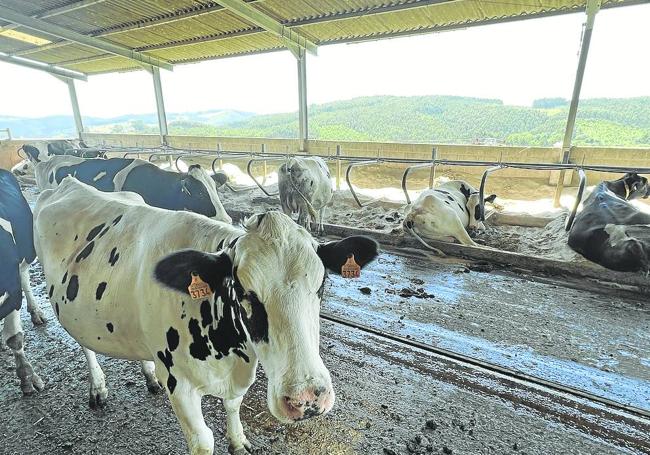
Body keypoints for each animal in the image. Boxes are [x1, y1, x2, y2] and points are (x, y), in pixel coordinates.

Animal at [35, 179, 378, 455]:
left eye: (322, 284)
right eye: (243, 291)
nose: (306, 399)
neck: (231, 354)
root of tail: (69, 182)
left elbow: (233, 404)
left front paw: (238, 441)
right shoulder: (180, 385)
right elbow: (203, 440)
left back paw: (148, 376)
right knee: (82, 344)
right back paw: (92, 387)